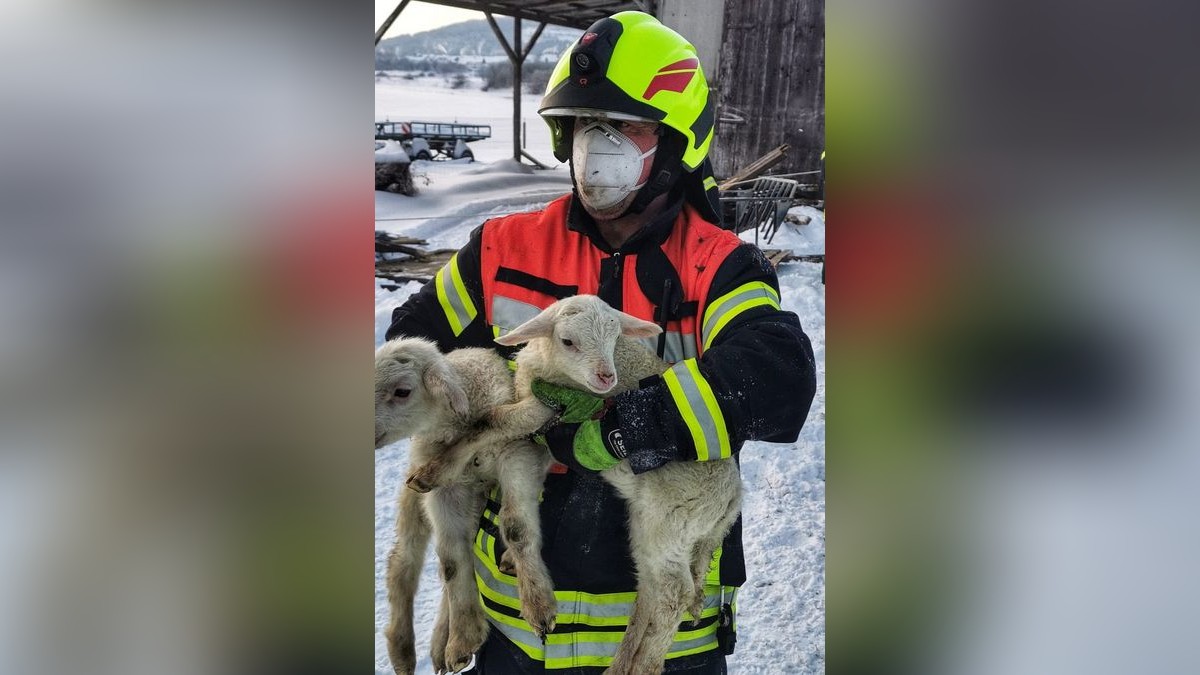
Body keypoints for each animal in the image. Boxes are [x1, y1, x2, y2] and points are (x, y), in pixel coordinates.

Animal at [374, 338, 556, 672]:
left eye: (402, 391)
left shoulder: (516, 454)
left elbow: (515, 527)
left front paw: (537, 605)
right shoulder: (444, 492)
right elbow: (451, 561)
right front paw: (463, 636)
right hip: (416, 503)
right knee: (402, 565)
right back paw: (404, 650)